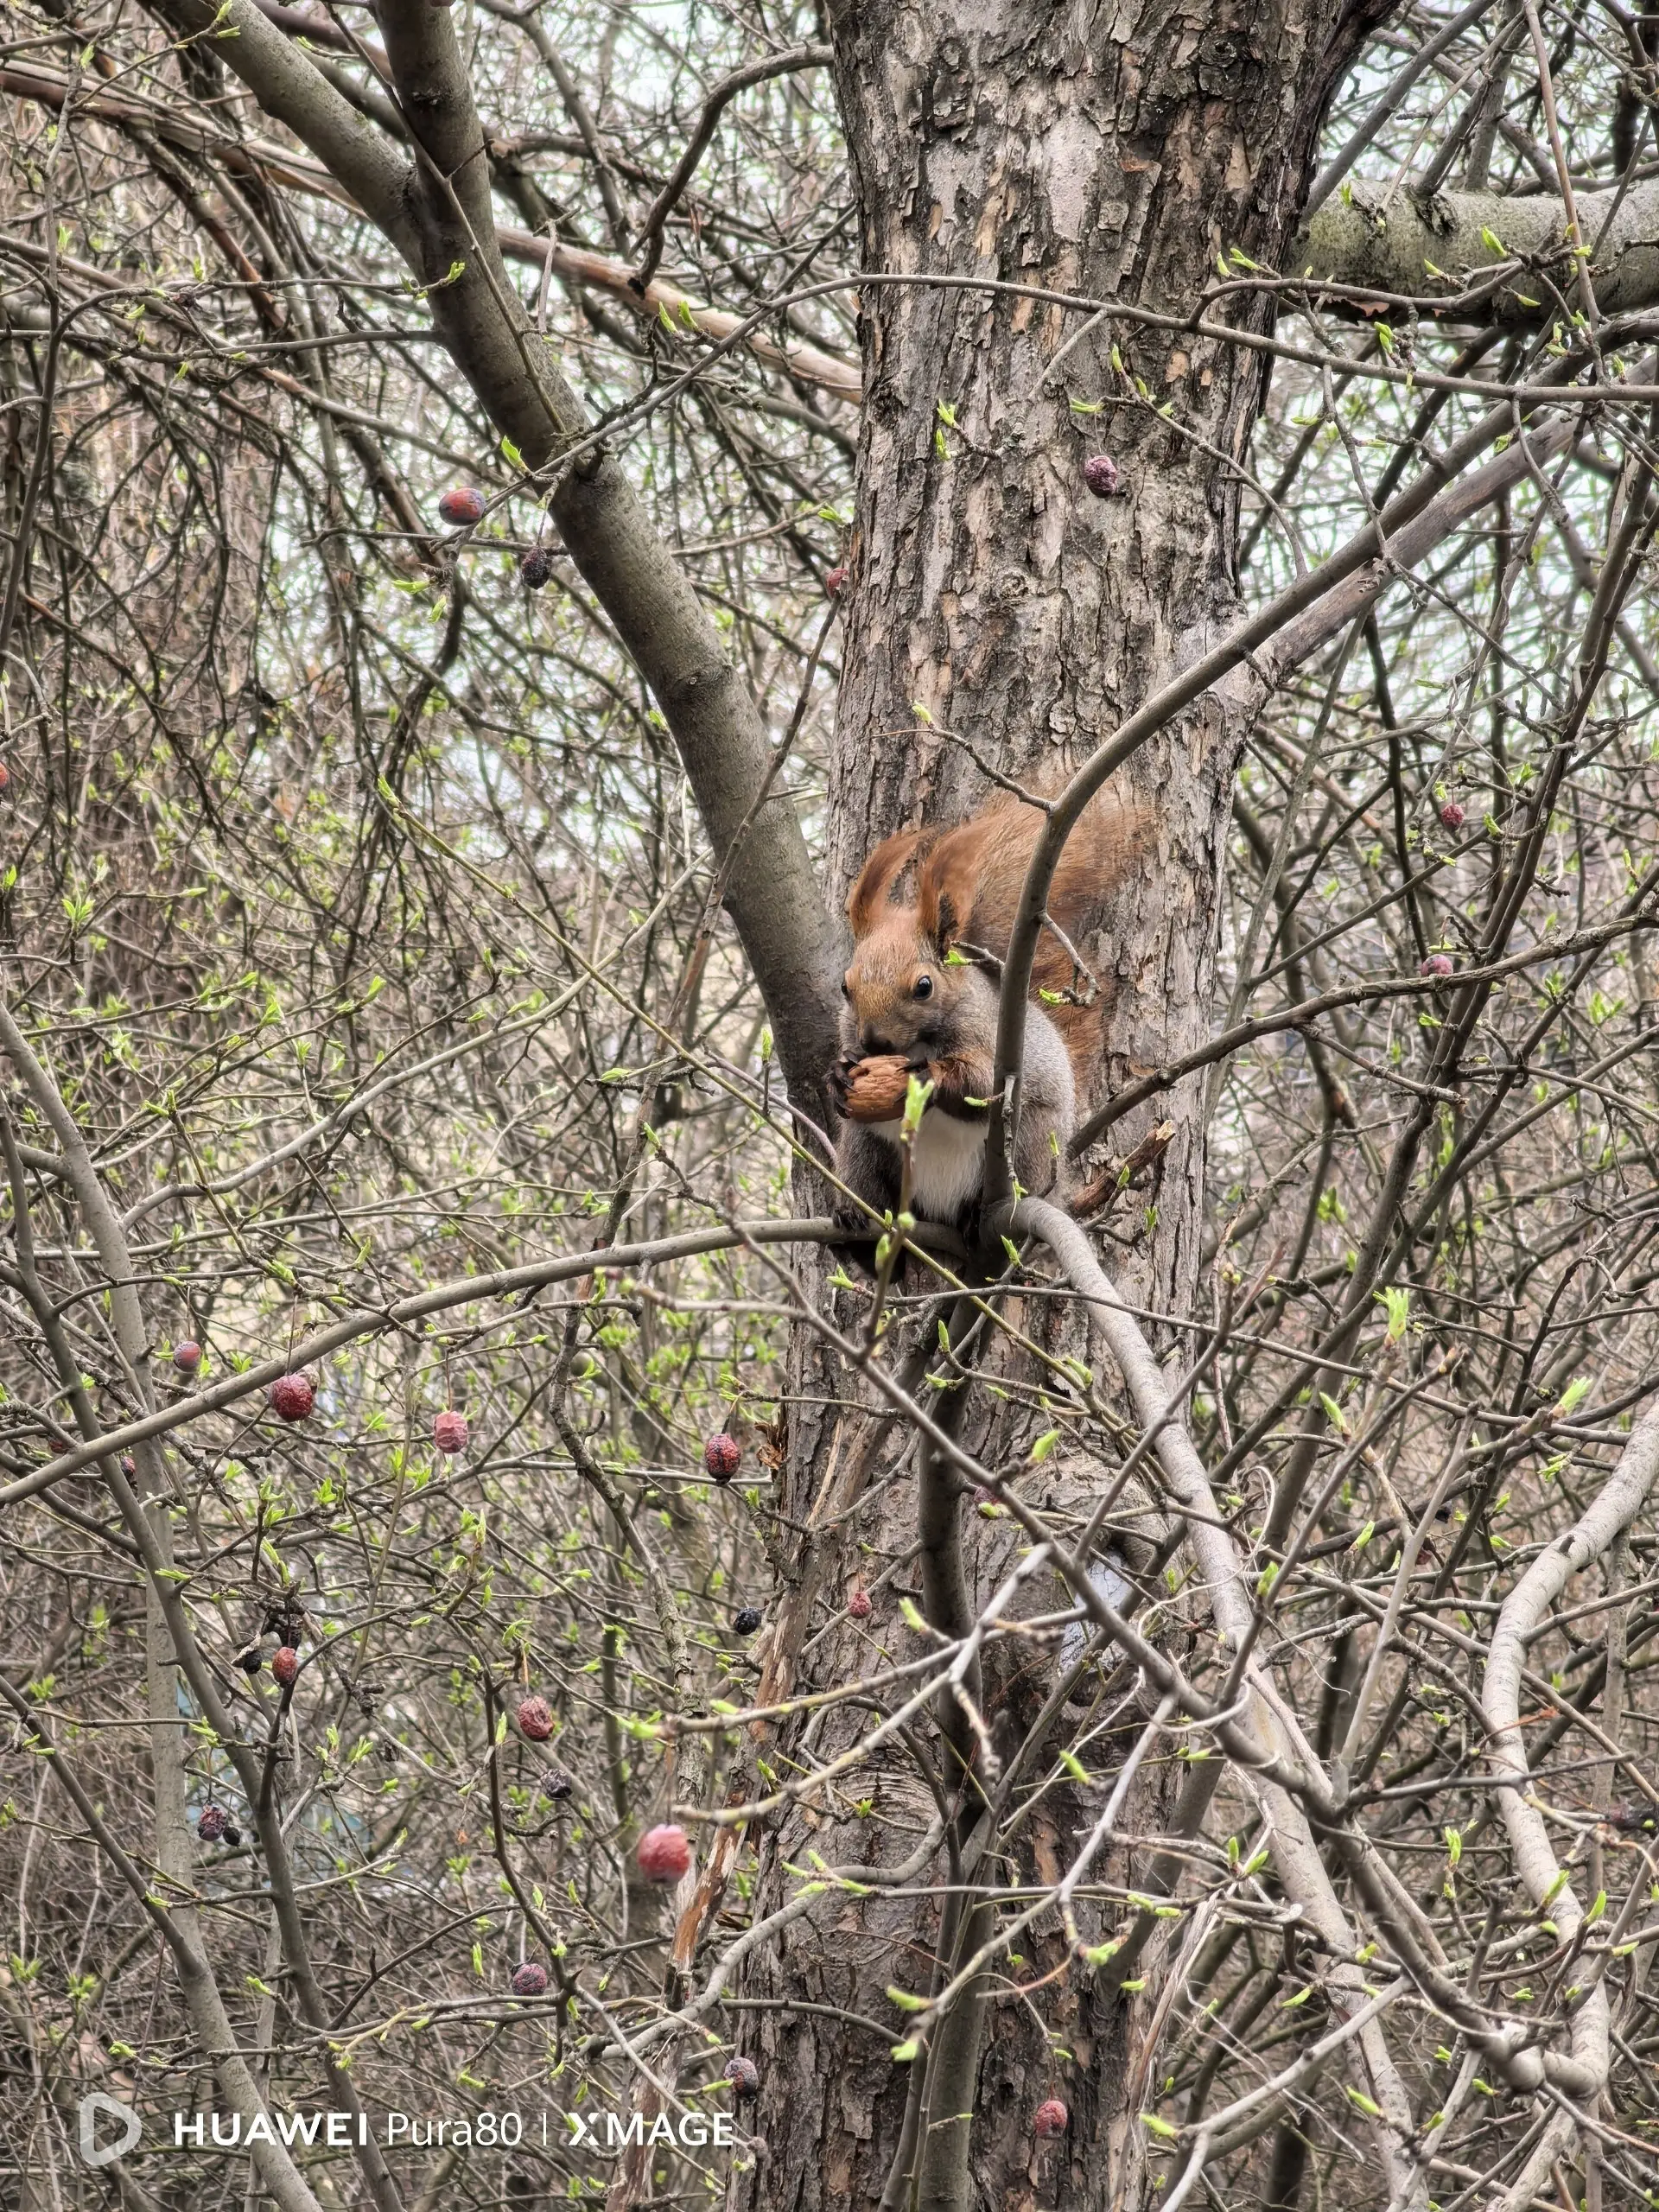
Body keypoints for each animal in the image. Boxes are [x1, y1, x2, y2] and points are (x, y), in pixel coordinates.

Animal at [827, 791, 1137, 1234]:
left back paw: (976, 1215)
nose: (873, 1042)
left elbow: (979, 1085)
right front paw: (839, 1073)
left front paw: (926, 1075)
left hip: (1031, 1143)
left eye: (924, 987)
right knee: (863, 1173)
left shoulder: (988, 1037)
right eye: (844, 987)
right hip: (861, 1146)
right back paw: (853, 1219)